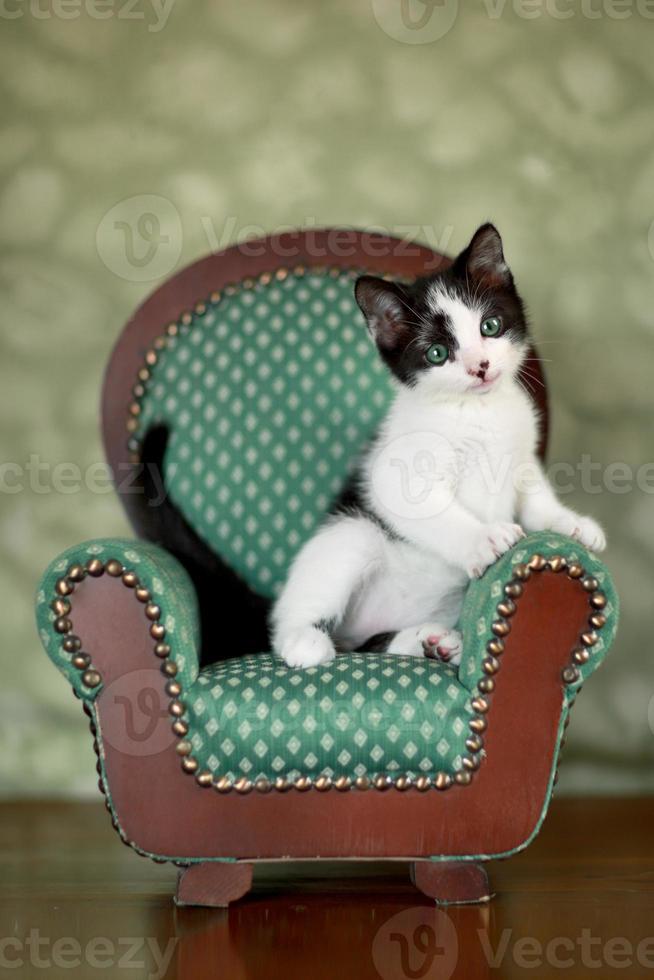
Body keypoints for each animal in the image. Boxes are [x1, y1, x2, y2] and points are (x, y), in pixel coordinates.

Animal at [270, 223, 604, 668]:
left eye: (490, 327)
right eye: (437, 352)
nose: (480, 367)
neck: (477, 411)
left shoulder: (521, 458)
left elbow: (535, 497)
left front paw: (570, 523)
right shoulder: (395, 475)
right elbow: (434, 512)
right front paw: (485, 538)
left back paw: (431, 641)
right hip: (350, 534)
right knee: (308, 606)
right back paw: (304, 640)